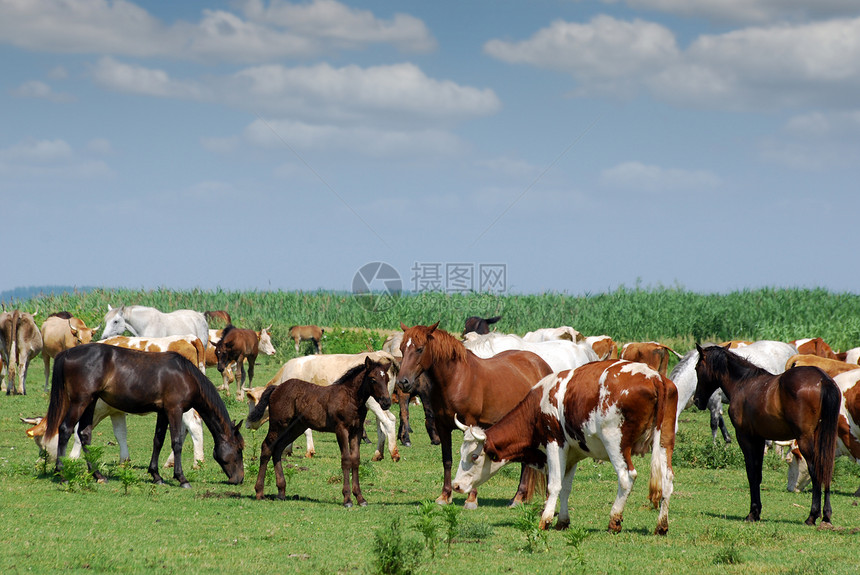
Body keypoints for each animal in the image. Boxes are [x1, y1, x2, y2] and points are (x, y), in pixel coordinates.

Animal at [45, 344, 244, 488]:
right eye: (239, 449)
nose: (239, 479)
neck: (184, 375)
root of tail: (67, 353)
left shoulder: (163, 412)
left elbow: (158, 441)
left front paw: (156, 476)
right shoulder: (174, 410)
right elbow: (176, 442)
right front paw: (181, 478)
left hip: (91, 402)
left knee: (84, 434)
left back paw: (98, 475)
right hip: (80, 402)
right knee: (65, 430)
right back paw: (62, 474)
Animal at [247, 358, 392, 510]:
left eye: (387, 379)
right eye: (373, 379)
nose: (386, 402)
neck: (350, 398)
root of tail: (276, 388)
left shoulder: (356, 431)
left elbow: (355, 460)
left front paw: (360, 498)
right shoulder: (341, 429)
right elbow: (346, 460)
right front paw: (347, 499)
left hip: (295, 428)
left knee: (278, 449)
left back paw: (281, 492)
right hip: (278, 425)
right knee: (266, 447)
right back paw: (259, 492)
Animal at [396, 324, 552, 508]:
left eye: (420, 349)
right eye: (401, 348)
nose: (402, 382)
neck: (455, 379)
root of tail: (541, 365)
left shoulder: (471, 425)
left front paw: (471, 499)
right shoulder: (442, 427)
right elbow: (447, 460)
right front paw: (445, 496)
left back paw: (519, 498)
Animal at [450, 360, 680, 536]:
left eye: (474, 456)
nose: (456, 485)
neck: (537, 406)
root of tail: (653, 376)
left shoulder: (554, 442)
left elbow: (554, 485)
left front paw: (545, 520)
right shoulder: (573, 453)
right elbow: (566, 487)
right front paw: (562, 520)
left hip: (615, 442)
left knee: (626, 477)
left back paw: (614, 520)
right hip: (664, 441)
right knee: (667, 479)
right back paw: (661, 525)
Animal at [692, 344, 840, 528]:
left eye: (697, 368)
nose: (697, 400)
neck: (742, 383)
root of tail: (822, 379)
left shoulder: (746, 438)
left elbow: (752, 472)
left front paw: (752, 513)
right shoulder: (760, 438)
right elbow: (758, 473)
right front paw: (757, 512)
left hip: (805, 439)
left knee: (815, 470)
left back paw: (812, 516)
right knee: (826, 468)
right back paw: (826, 516)